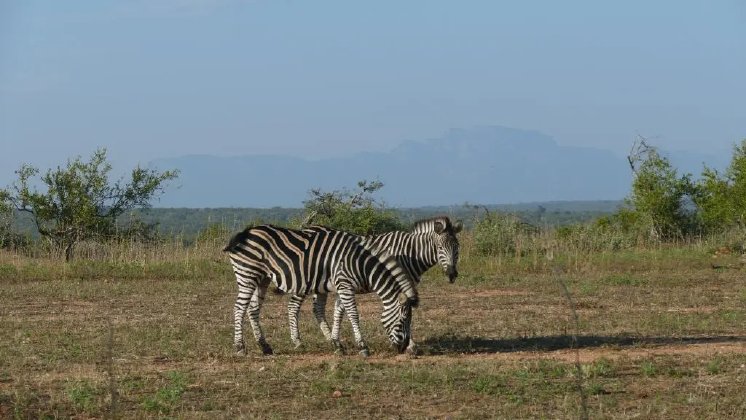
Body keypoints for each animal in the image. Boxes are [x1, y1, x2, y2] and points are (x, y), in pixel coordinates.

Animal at [224, 224, 419, 356]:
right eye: (403, 320)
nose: (403, 348)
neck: (360, 263)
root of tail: (246, 232)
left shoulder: (342, 286)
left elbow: (338, 313)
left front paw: (337, 344)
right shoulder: (345, 285)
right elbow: (353, 314)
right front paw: (362, 346)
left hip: (262, 279)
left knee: (253, 309)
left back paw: (264, 346)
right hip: (247, 275)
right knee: (239, 308)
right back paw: (240, 347)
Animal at [286, 216, 462, 350]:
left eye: (457, 248)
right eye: (440, 248)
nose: (452, 274)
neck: (411, 253)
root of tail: (307, 228)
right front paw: (410, 344)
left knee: (317, 308)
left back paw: (329, 339)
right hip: (304, 280)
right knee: (293, 305)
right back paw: (297, 341)